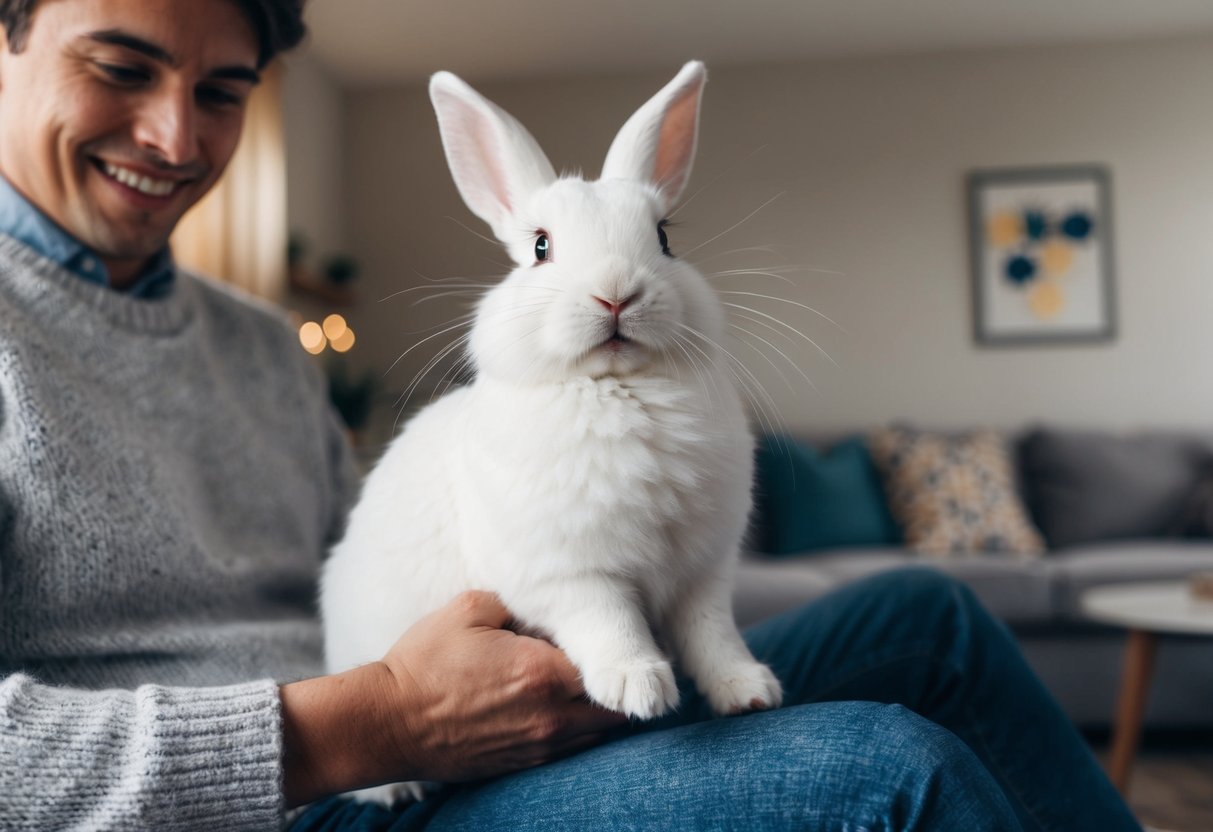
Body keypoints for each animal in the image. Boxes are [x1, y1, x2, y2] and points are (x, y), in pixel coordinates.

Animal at [320, 61, 783, 803]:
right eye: (540, 248)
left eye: (664, 237)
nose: (616, 292)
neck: (618, 389)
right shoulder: (567, 572)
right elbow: (608, 618)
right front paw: (638, 687)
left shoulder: (702, 571)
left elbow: (712, 633)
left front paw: (749, 692)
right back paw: (395, 792)